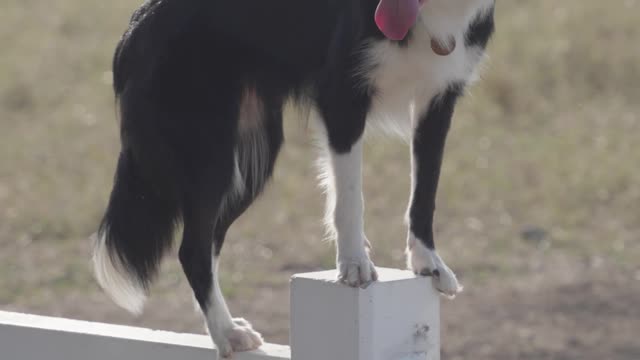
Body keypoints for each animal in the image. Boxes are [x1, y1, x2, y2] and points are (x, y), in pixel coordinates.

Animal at [94, 0, 496, 356]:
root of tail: (136, 23)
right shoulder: (342, 96)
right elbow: (350, 196)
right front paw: (355, 264)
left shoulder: (438, 100)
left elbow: (425, 192)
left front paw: (428, 263)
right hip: (211, 151)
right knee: (192, 248)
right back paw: (227, 334)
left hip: (252, 159)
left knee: (208, 243)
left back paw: (226, 327)